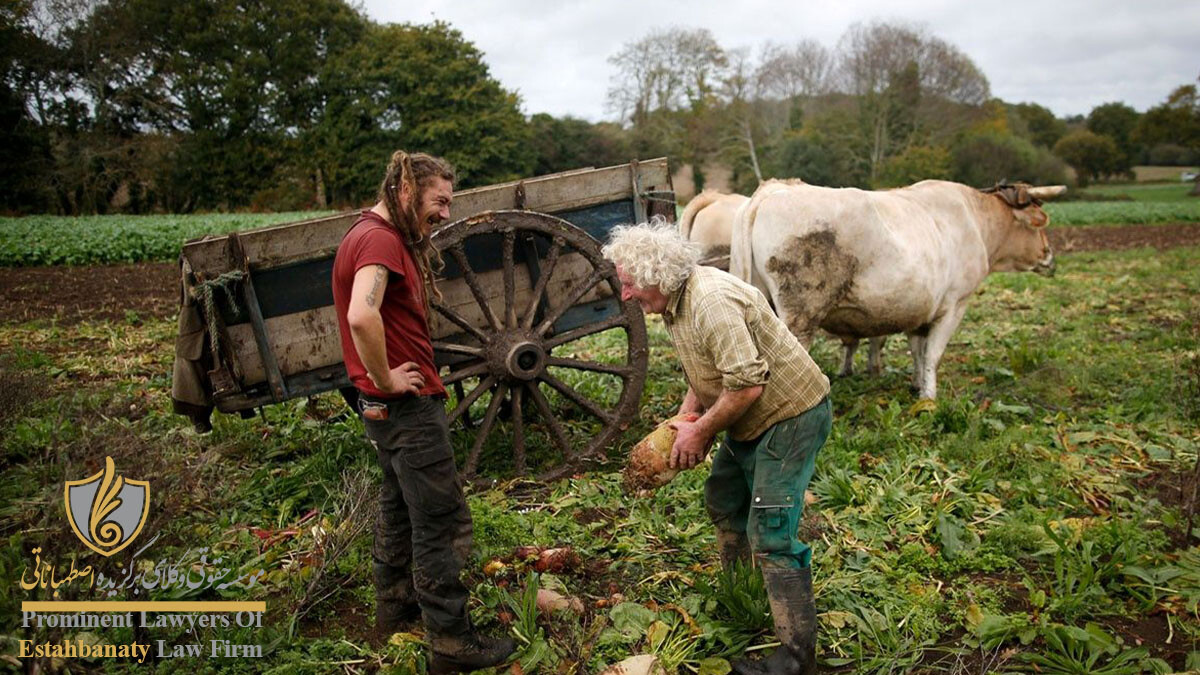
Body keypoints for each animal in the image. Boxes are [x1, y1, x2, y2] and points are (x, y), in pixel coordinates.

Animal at [724, 180, 1065, 398]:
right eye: (1039, 224)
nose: (1050, 256)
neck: (976, 220)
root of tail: (771, 191)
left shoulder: (919, 309)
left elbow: (918, 350)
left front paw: (916, 384)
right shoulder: (955, 304)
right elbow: (934, 355)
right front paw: (929, 397)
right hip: (799, 318)